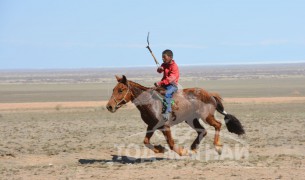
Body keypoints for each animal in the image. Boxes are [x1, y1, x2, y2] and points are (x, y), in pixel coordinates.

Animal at [105, 75, 243, 155]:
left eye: (121, 90)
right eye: (113, 89)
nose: (109, 106)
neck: (150, 103)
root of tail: (210, 95)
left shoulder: (165, 127)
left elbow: (171, 143)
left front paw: (181, 151)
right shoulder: (151, 126)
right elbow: (145, 141)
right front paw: (159, 149)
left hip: (206, 117)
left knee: (217, 125)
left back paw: (217, 147)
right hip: (191, 119)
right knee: (202, 131)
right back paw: (193, 148)